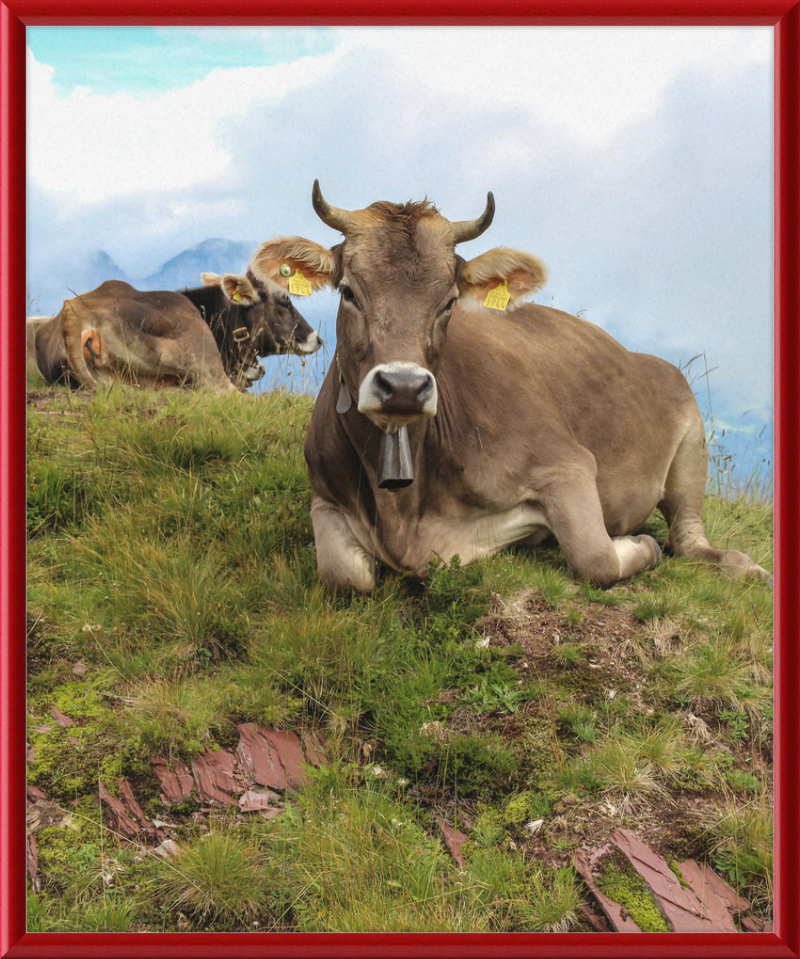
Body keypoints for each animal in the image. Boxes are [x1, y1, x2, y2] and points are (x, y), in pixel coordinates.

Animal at [252, 176, 776, 588]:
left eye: (449, 301)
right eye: (348, 292)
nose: (402, 387)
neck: (403, 510)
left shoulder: (567, 465)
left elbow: (597, 558)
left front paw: (640, 544)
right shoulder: (325, 496)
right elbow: (343, 576)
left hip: (692, 440)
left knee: (688, 539)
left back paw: (744, 566)